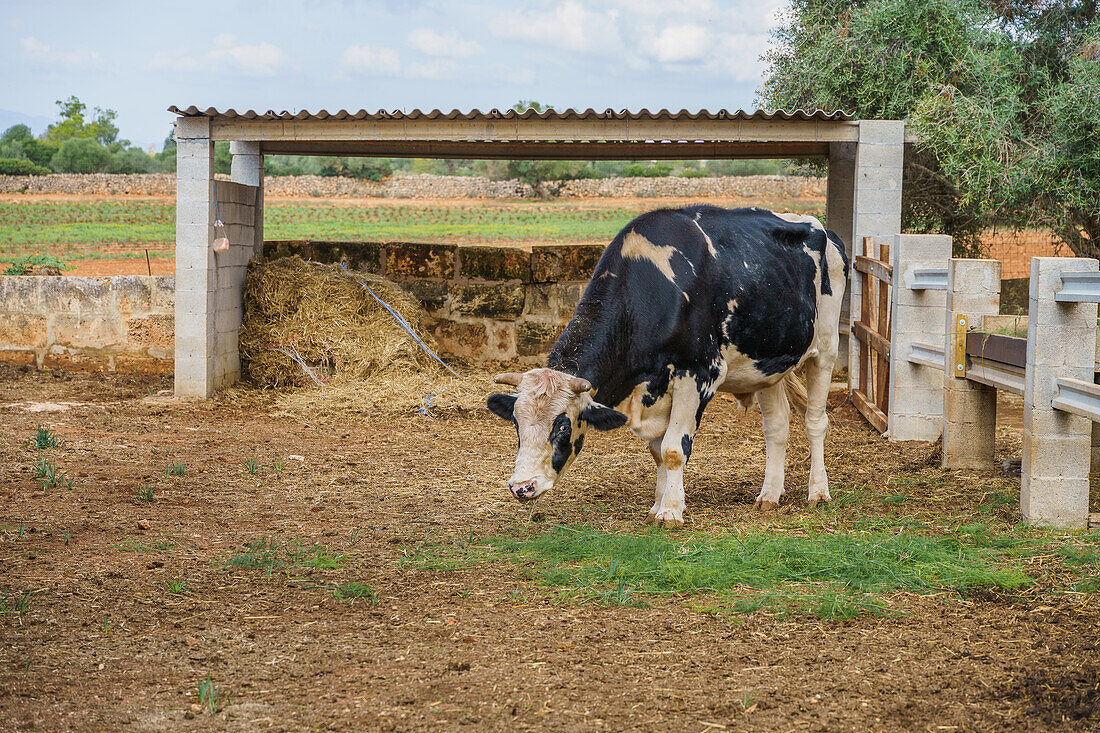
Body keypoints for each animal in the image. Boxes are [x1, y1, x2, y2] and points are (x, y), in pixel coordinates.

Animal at [486, 205, 844, 526]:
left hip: (825, 349)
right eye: (516, 423)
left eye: (561, 426)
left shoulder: (699, 375)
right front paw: (658, 505)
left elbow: (674, 448)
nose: (521, 487)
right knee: (777, 426)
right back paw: (770, 494)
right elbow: (658, 451)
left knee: (815, 422)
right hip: (767, 366)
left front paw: (671, 512)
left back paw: (818, 492)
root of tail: (820, 226)